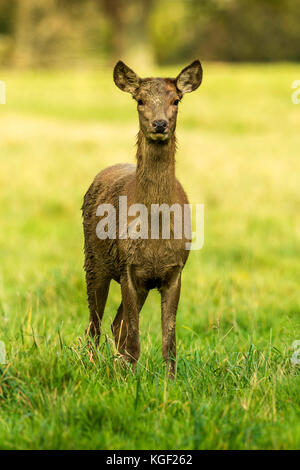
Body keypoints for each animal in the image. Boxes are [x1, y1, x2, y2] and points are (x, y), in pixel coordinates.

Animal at [82, 58, 203, 376]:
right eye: (139, 100)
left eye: (176, 100)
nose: (159, 124)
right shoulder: (128, 267)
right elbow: (135, 338)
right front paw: (131, 381)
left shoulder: (174, 270)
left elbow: (169, 342)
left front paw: (169, 382)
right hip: (93, 261)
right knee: (95, 325)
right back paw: (92, 366)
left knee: (115, 324)